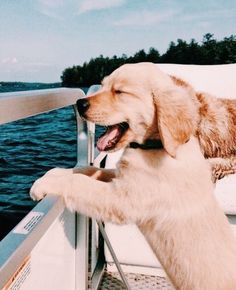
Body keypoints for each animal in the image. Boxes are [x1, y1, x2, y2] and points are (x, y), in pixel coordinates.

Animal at [30, 62, 236, 288]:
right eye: (103, 86)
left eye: (120, 92)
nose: (79, 103)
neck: (155, 146)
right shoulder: (123, 177)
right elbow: (89, 170)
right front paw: (57, 172)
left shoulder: (124, 198)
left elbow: (80, 184)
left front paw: (43, 185)